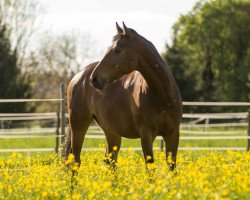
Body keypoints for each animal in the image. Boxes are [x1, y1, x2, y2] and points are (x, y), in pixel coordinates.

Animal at [63, 22, 183, 170]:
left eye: (117, 50)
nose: (94, 79)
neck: (162, 97)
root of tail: (78, 76)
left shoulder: (173, 134)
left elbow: (172, 167)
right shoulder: (146, 135)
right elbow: (150, 168)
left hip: (111, 132)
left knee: (110, 161)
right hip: (78, 126)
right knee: (75, 161)